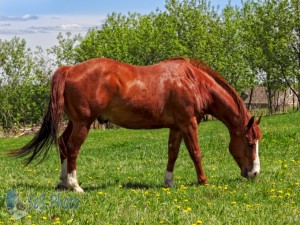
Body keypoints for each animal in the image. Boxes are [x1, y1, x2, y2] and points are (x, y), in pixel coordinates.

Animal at [9, 57, 262, 192]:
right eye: (250, 143)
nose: (255, 173)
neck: (192, 82)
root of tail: (70, 69)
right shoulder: (188, 123)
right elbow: (195, 153)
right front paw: (203, 181)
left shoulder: (176, 126)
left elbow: (173, 153)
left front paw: (169, 182)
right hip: (83, 123)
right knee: (72, 149)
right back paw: (75, 185)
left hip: (74, 121)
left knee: (62, 144)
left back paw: (63, 183)